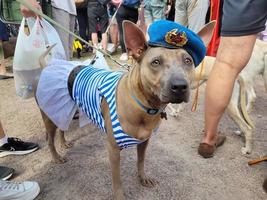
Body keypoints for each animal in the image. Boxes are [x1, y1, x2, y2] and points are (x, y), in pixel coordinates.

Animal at [36, 21, 216, 199]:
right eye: (156, 62)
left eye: (188, 61)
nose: (180, 86)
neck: (145, 107)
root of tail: (48, 67)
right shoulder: (113, 151)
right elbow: (117, 180)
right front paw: (120, 195)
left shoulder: (144, 142)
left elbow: (140, 161)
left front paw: (142, 177)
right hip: (50, 115)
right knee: (49, 139)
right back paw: (56, 157)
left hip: (66, 109)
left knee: (62, 126)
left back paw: (64, 143)